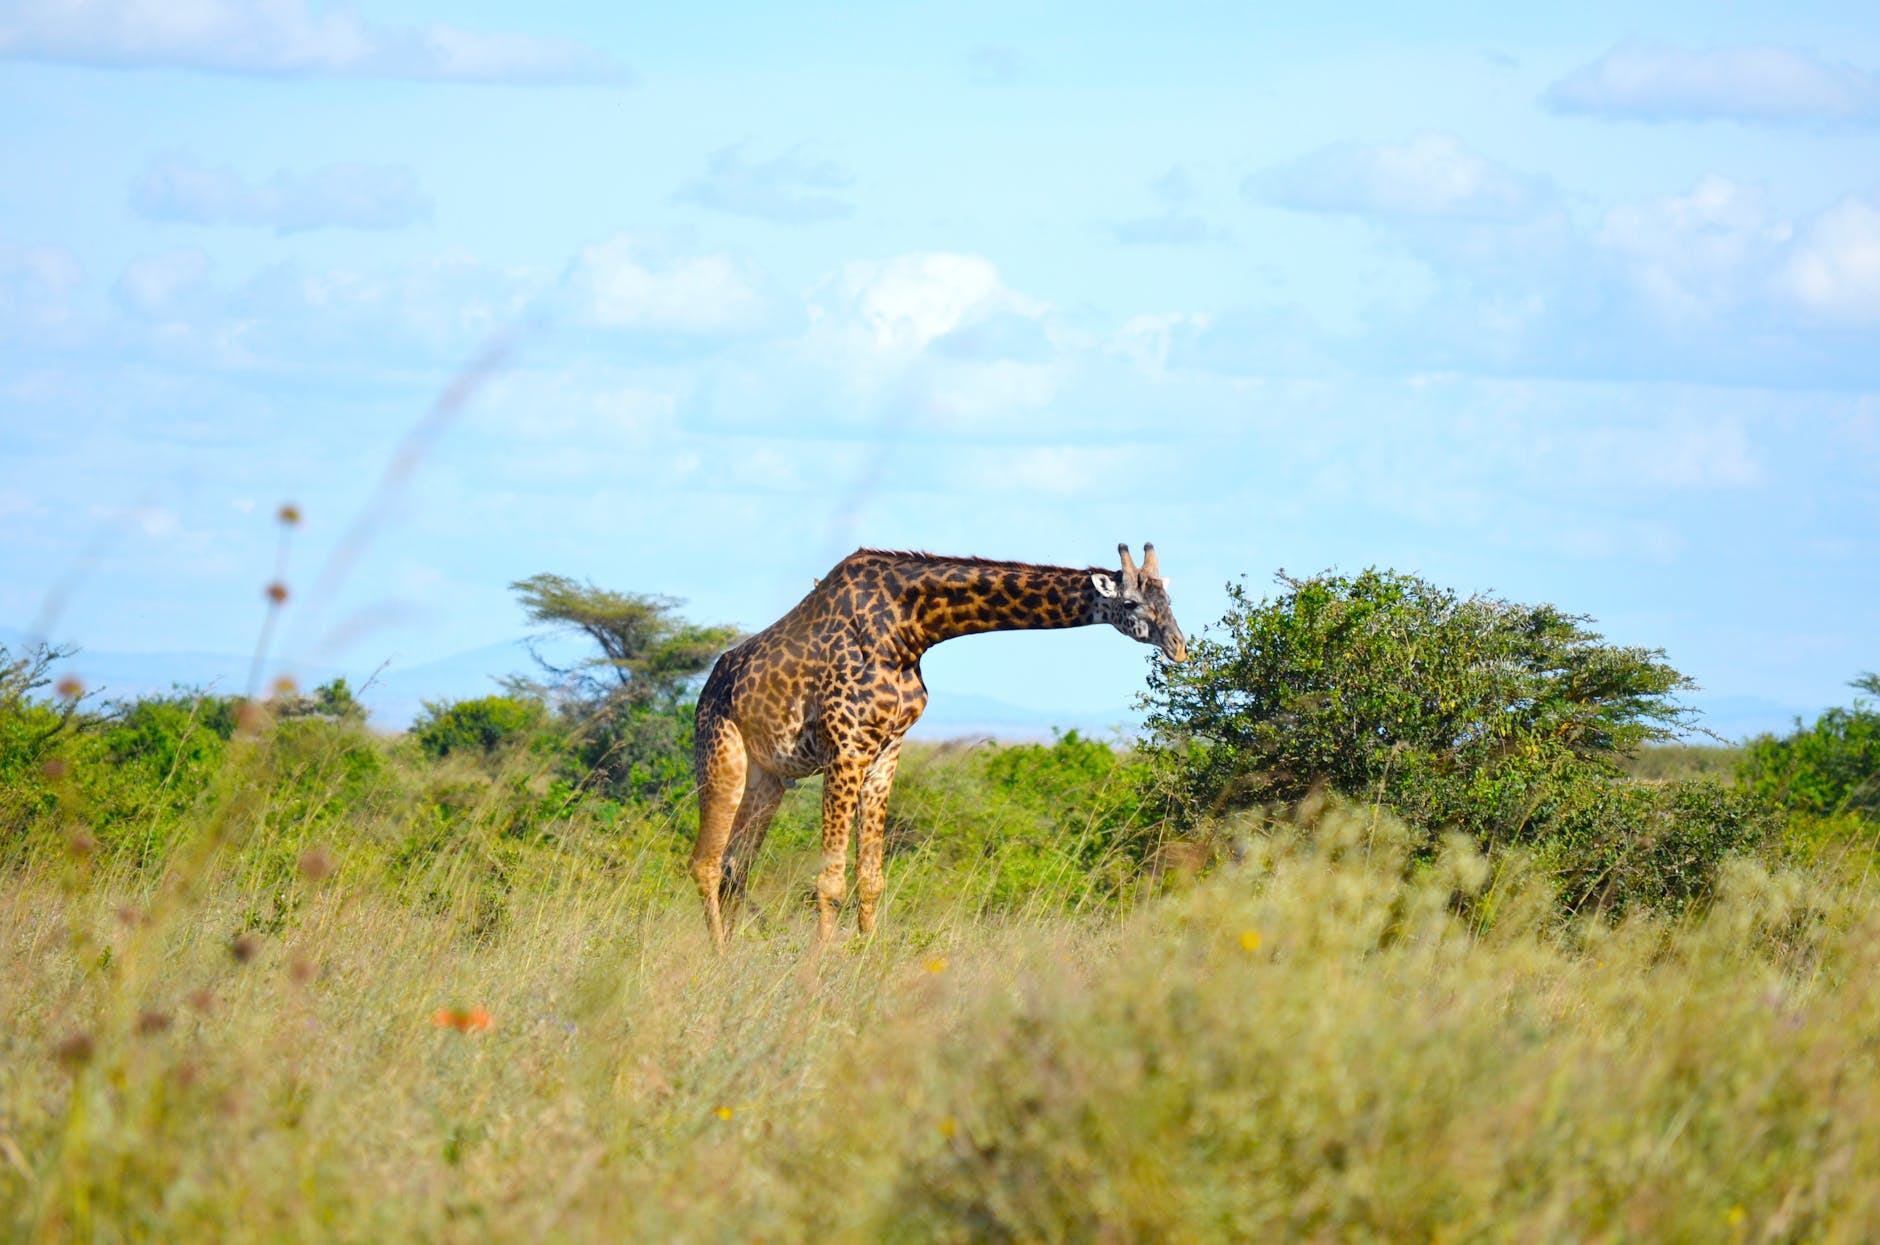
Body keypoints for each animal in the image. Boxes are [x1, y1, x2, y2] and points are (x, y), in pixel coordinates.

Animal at [691, 545, 1188, 947]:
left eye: (1169, 600)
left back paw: (735, 953)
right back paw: (719, 959)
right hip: (722, 756)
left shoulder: (887, 751)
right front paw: (815, 981)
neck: (909, 630)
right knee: (706, 863)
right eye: (1130, 602)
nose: (1179, 646)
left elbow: (871, 878)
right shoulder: (846, 748)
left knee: (735, 867)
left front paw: (866, 963)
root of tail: (710, 685)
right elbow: (830, 881)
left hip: (769, 777)